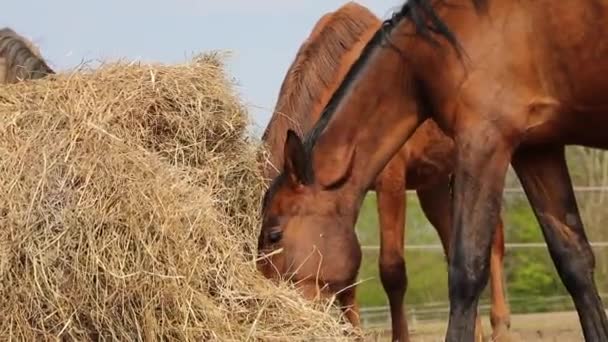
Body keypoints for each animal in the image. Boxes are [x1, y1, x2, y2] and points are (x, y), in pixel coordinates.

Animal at [258, 0, 608, 342]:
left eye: (275, 235)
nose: (270, 314)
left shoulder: (396, 180)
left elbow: (394, 271)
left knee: (494, 244)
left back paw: (500, 327)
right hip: (438, 184)